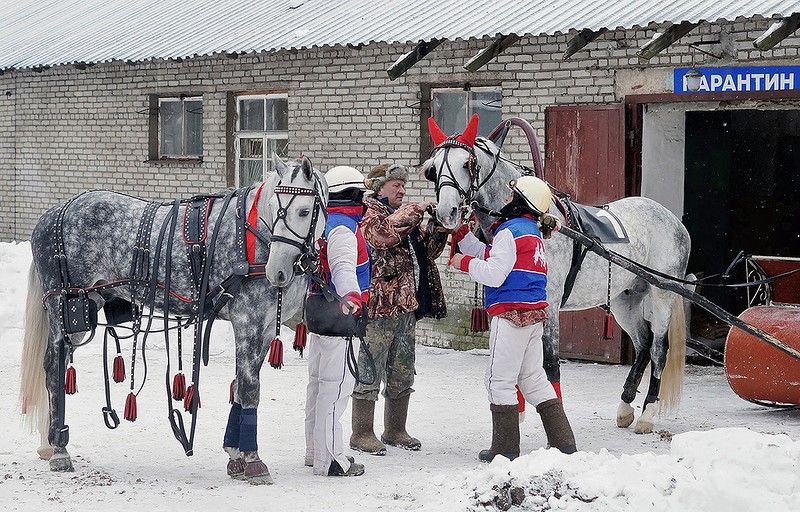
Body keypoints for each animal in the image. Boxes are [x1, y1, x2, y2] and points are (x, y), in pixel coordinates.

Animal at [19, 154, 324, 482]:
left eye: (304, 210)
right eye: (277, 206)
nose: (276, 271)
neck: (252, 238)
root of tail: (54, 213)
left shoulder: (263, 327)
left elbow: (241, 387)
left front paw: (235, 454)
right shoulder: (248, 321)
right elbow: (249, 389)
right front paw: (253, 460)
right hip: (67, 310)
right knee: (53, 368)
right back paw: (59, 449)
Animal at [422, 115, 692, 432]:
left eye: (468, 163)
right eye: (433, 168)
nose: (446, 213)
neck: (530, 217)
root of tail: (672, 219)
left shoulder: (548, 305)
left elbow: (550, 363)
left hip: (661, 293)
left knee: (659, 348)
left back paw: (647, 413)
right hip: (625, 298)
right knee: (643, 344)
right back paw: (626, 406)